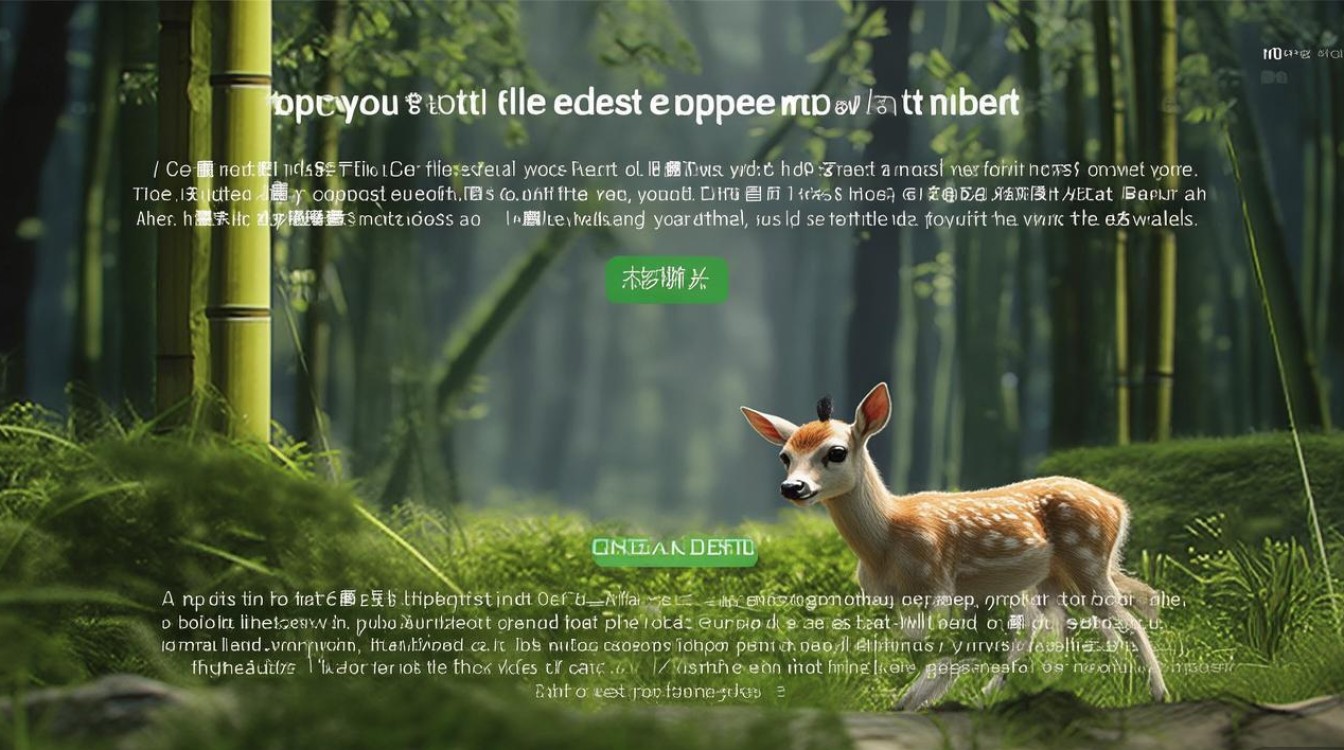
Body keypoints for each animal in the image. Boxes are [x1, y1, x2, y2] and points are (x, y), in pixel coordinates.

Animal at [741, 383, 1167, 710]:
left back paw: (1156, 693)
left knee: (1125, 623)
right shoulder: (888, 598)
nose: (792, 487)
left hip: (1087, 560)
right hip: (1054, 579)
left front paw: (907, 702)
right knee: (1067, 629)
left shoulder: (935, 585)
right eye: (785, 456)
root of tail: (1118, 506)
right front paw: (907, 701)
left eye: (836, 452)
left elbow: (942, 649)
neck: (884, 542)